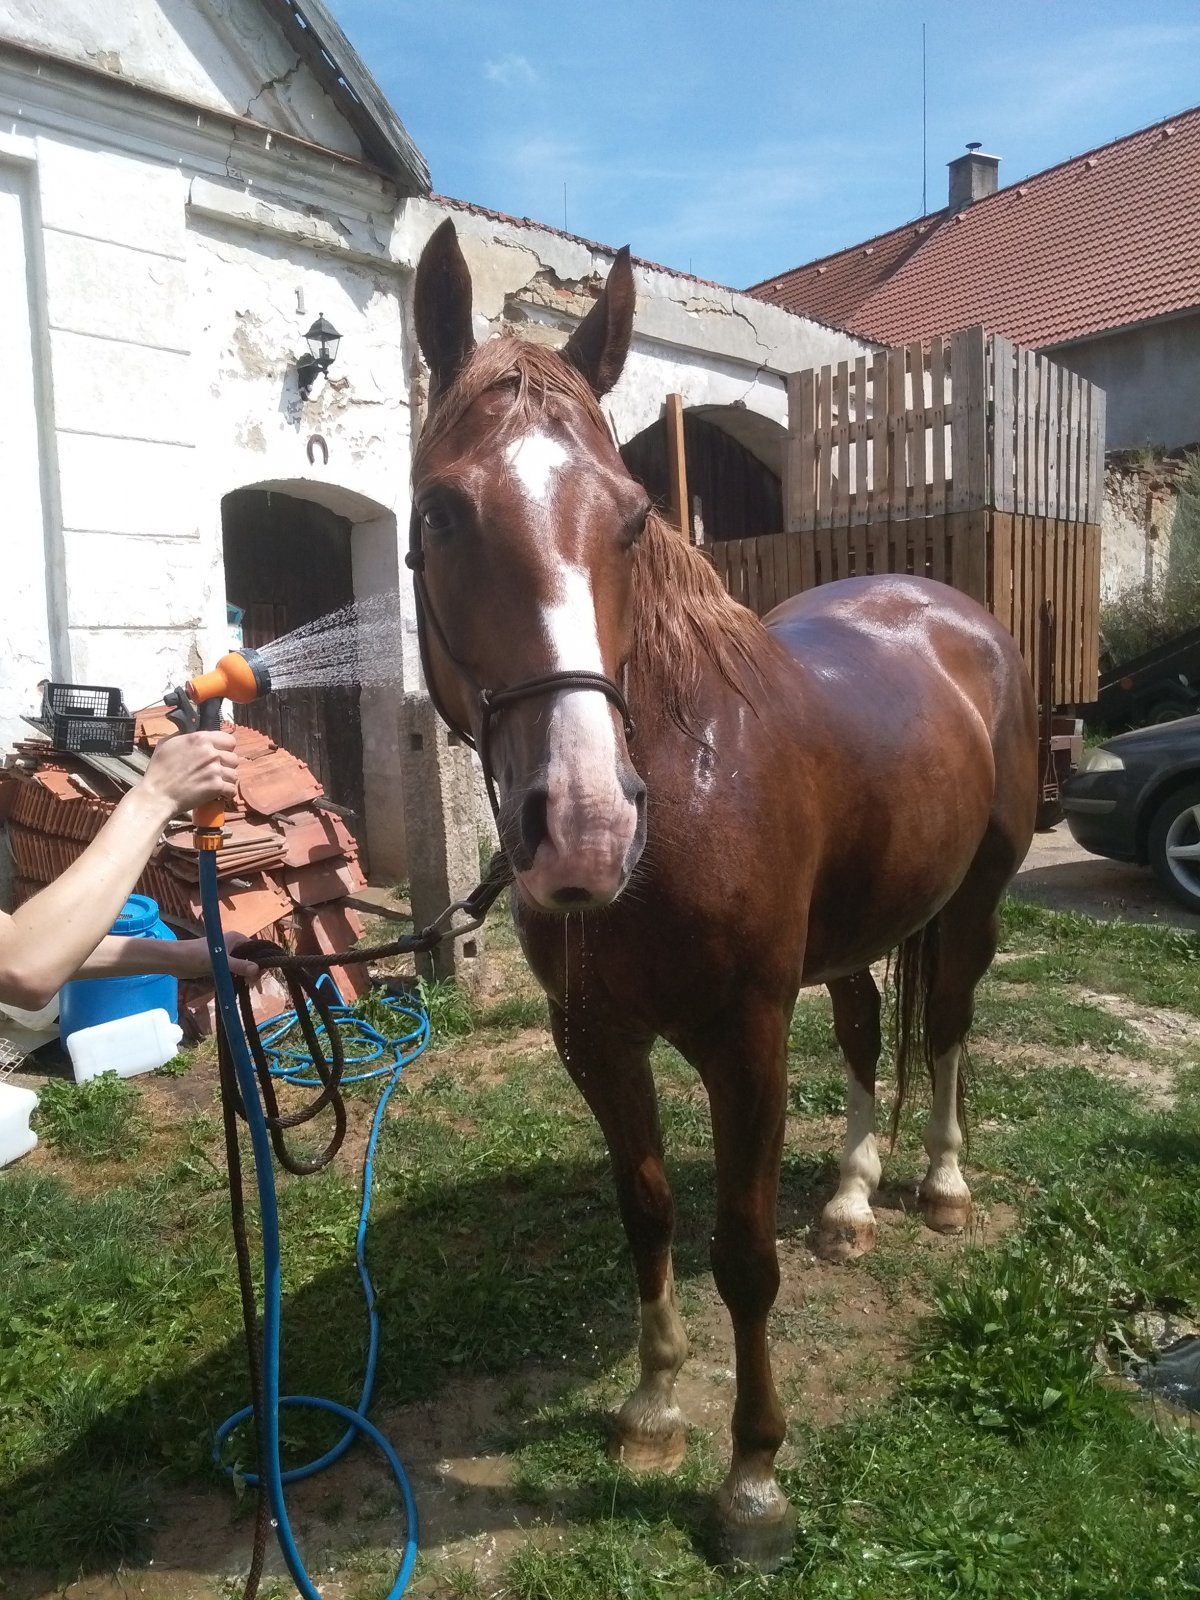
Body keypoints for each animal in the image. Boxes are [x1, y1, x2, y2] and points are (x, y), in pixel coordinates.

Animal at [408, 218, 1038, 1567]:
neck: (681, 793)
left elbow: (741, 1252)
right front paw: (652, 1405)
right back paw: (850, 1200)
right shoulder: (597, 1040)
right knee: (864, 1031)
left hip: (972, 903)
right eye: (439, 509)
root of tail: (948, 607)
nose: (584, 825)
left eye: (635, 514)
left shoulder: (745, 1040)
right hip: (854, 932)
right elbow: (646, 1211)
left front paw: (753, 1479)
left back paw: (941, 1186)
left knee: (948, 1031)